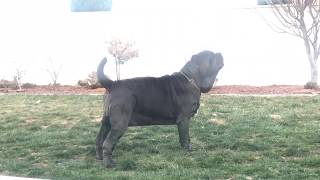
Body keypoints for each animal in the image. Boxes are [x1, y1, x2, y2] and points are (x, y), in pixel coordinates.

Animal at [96, 50, 224, 167]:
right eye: (211, 56)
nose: (220, 53)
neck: (192, 78)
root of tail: (113, 84)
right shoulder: (184, 119)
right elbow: (185, 137)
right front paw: (187, 150)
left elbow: (187, 137)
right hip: (120, 124)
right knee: (107, 143)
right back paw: (109, 164)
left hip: (106, 122)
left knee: (100, 139)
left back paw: (100, 157)